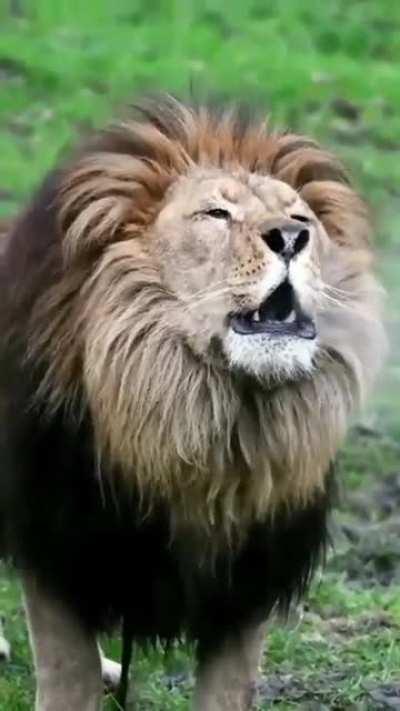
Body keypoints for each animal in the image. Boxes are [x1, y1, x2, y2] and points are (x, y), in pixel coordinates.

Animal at [0, 95, 385, 710]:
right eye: (216, 214)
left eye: (302, 219)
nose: (291, 238)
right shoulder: (59, 549)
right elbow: (67, 677)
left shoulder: (247, 584)